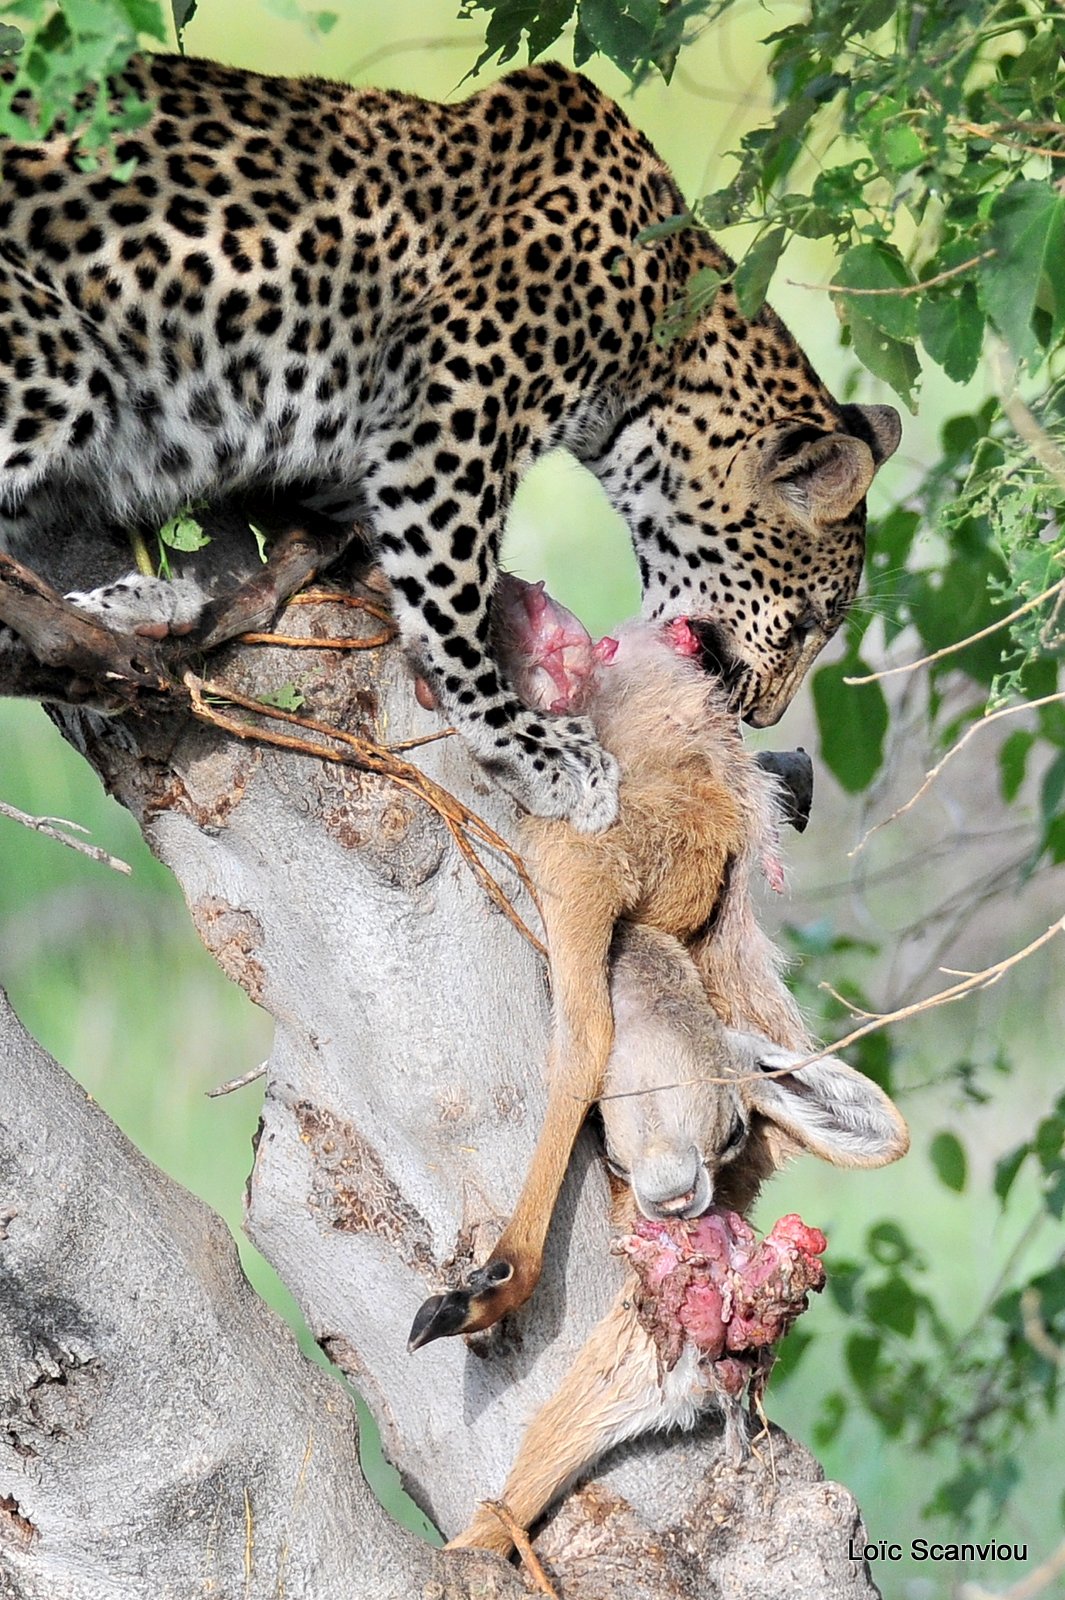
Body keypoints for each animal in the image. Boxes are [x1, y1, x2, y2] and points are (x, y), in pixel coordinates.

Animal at [0, 56, 895, 832]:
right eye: (809, 620)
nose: (765, 715)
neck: (660, 345)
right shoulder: (451, 421)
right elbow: (453, 598)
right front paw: (534, 749)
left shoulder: (337, 463)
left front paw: (150, 602)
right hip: (56, 360)